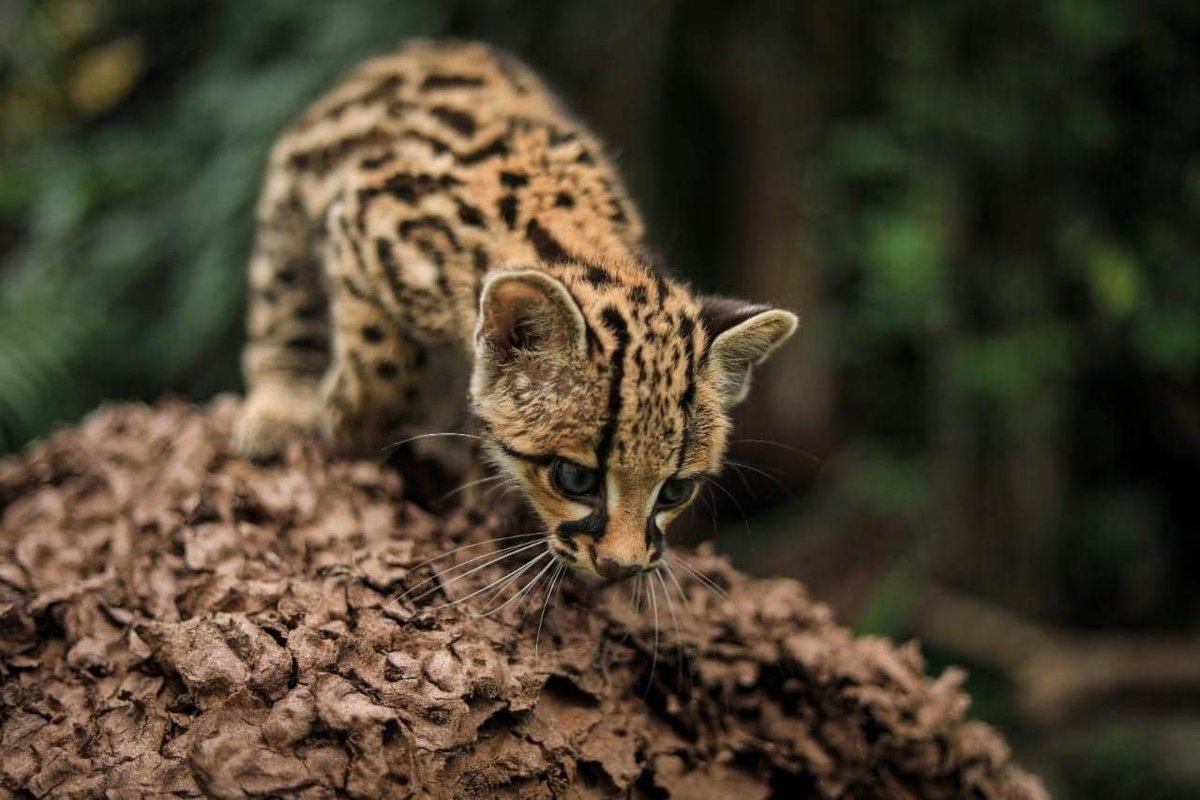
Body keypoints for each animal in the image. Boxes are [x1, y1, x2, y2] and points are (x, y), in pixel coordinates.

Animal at [234, 38, 796, 582]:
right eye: (575, 478)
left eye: (676, 491)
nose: (622, 568)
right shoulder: (359, 222)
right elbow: (384, 361)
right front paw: (348, 421)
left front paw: (485, 485)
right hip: (289, 206)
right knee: (283, 303)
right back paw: (279, 408)